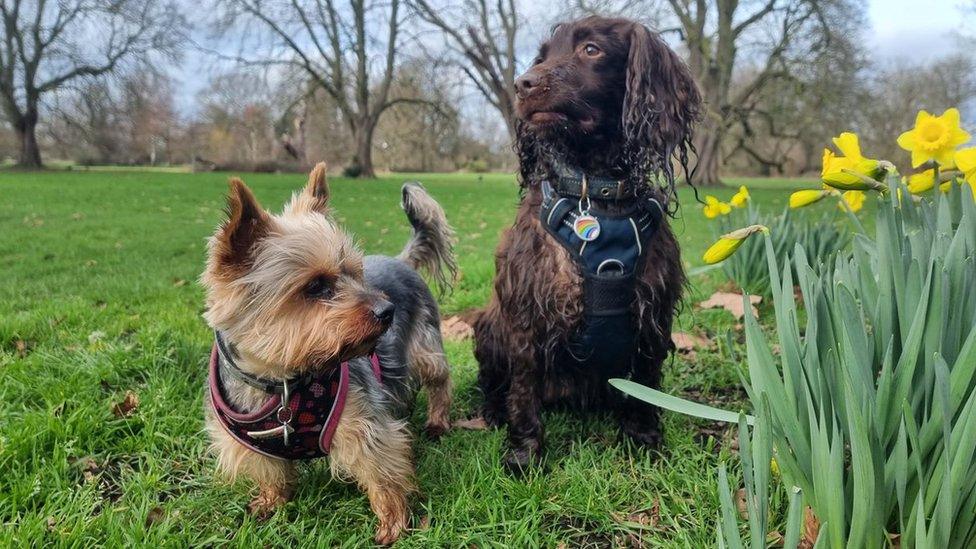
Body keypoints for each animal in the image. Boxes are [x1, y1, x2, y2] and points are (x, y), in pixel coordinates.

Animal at [201, 164, 458, 544]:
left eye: (354, 273)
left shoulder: (364, 427)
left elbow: (383, 474)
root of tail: (400, 260)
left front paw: (393, 523)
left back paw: (438, 422)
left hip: (424, 345)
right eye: (315, 286)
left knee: (439, 380)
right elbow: (271, 472)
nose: (387, 311)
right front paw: (270, 503)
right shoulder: (248, 442)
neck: (283, 379)